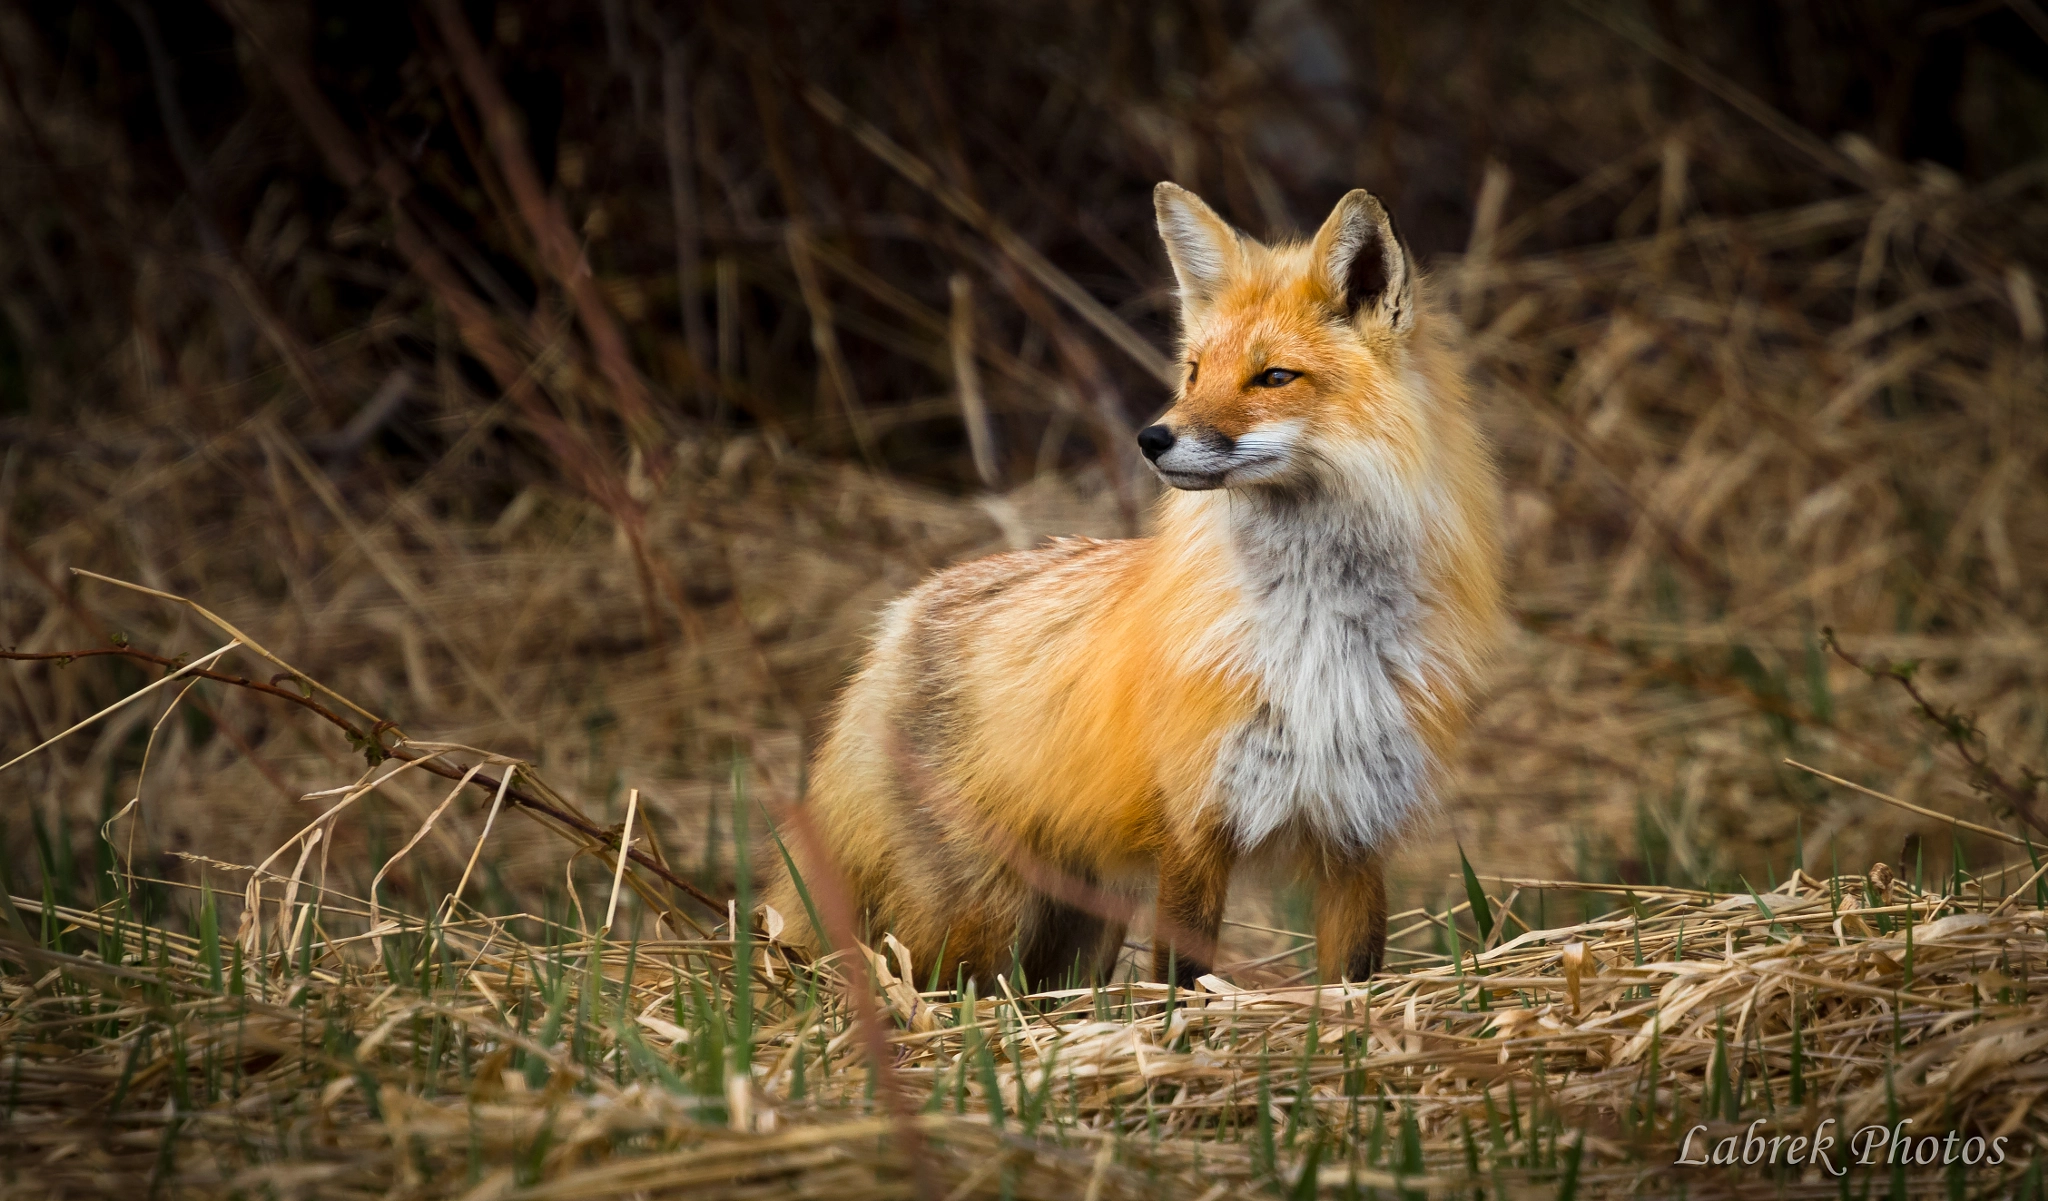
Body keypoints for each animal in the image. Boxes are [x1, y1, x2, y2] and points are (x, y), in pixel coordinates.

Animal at [766, 183, 1503, 990]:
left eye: (1274, 377)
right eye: (1194, 372)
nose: (1151, 438)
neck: (1317, 634)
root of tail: (901, 615)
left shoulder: (1357, 832)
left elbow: (1355, 973)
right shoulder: (1194, 822)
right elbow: (1181, 972)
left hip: (1080, 925)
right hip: (978, 919)